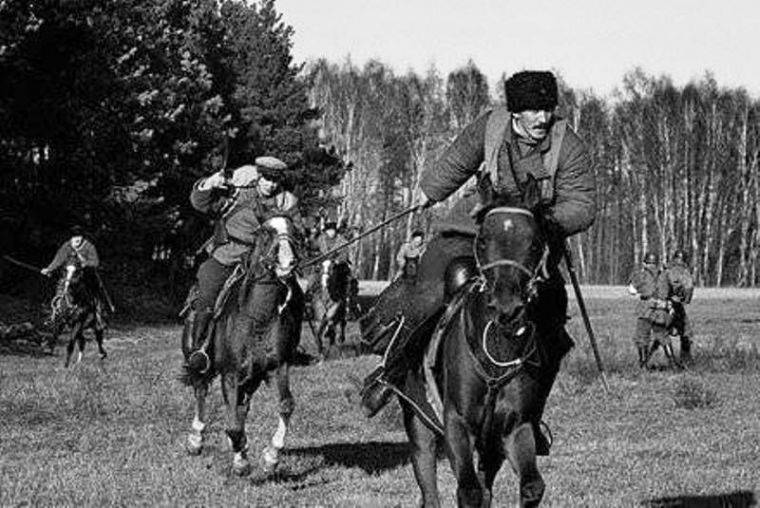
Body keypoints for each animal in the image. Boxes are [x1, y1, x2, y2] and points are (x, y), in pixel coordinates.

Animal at [180, 216, 304, 478]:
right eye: (265, 232)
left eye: (294, 231)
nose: (289, 261)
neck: (258, 317)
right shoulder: (231, 374)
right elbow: (233, 424)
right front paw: (241, 462)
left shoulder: (277, 367)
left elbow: (285, 405)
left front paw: (271, 457)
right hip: (199, 361)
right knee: (201, 390)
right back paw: (196, 439)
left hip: (252, 377)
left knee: (241, 407)